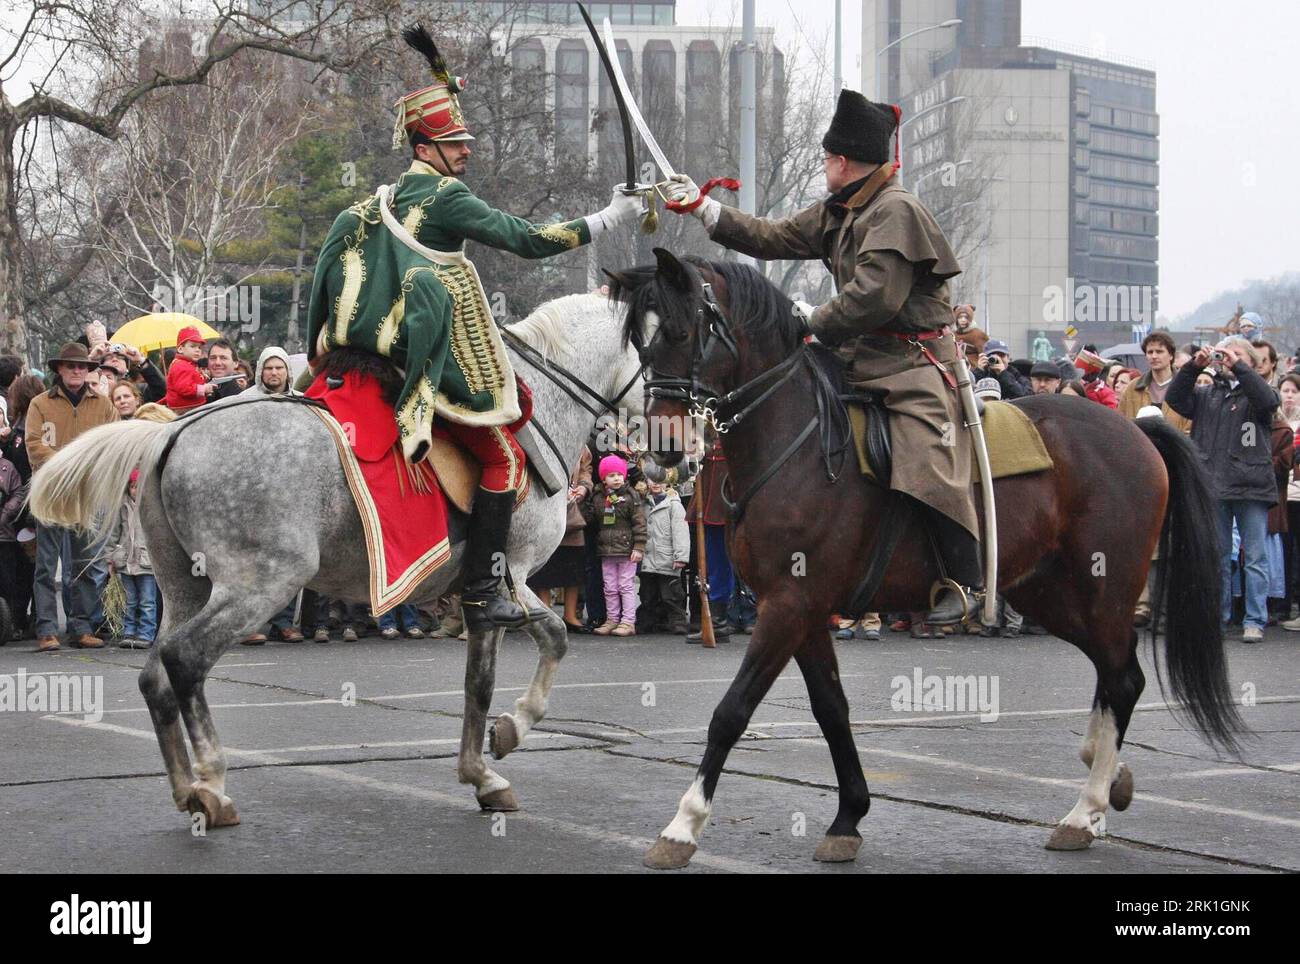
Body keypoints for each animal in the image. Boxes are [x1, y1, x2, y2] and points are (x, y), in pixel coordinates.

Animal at [27, 292, 642, 831]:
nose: (664, 414)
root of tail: (173, 432)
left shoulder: (485, 593)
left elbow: (494, 674)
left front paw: (486, 768)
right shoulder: (505, 578)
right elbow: (536, 648)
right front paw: (507, 739)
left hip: (185, 586)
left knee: (156, 674)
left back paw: (187, 790)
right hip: (261, 584)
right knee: (185, 660)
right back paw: (212, 785)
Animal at [613, 250, 1242, 878]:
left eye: (681, 331)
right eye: (638, 341)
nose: (662, 448)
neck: (798, 443)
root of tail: (1137, 430)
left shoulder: (788, 606)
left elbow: (732, 711)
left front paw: (683, 826)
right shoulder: (802, 610)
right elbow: (831, 708)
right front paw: (848, 818)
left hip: (1102, 589)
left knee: (1124, 676)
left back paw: (1084, 811)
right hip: (1048, 593)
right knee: (1114, 675)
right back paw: (1105, 775)